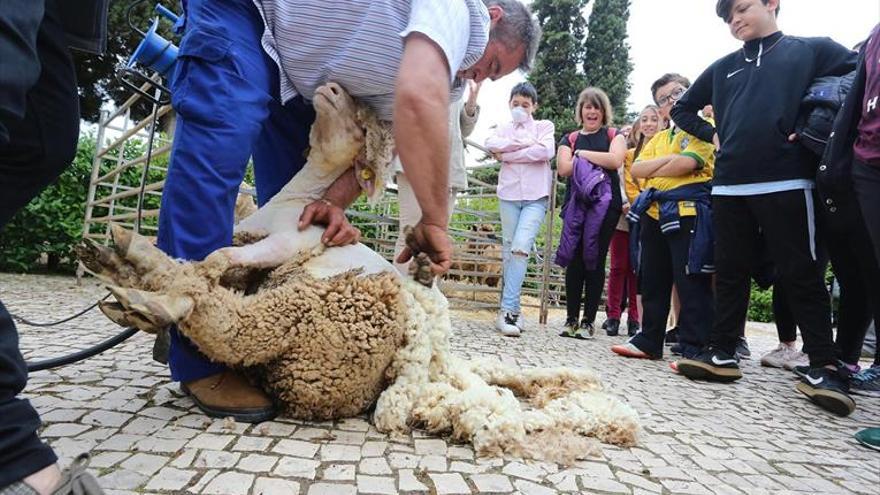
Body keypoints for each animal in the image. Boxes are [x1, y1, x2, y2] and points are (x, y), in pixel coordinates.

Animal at [75, 83, 640, 466]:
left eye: (360, 122)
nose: (330, 87)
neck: (295, 199)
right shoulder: (259, 238)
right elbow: (221, 257)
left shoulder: (292, 242)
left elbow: (217, 259)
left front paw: (177, 270)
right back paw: (119, 269)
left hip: (314, 307)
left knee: (227, 322)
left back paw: (135, 286)